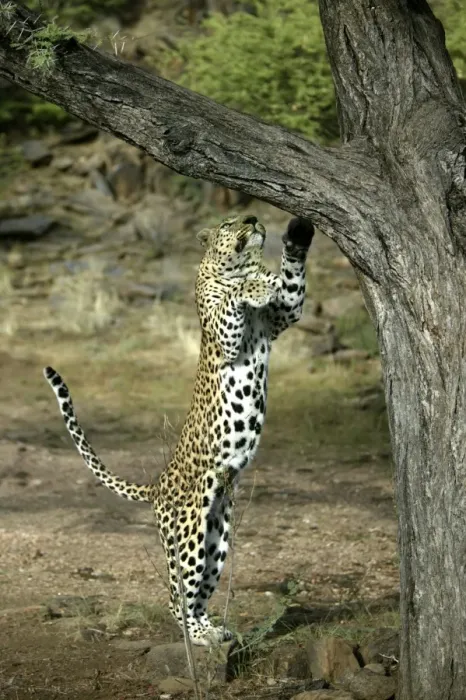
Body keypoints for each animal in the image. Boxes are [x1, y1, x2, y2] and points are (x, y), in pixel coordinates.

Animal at [44, 213, 314, 647]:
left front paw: (297, 236)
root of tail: (158, 484)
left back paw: (212, 631)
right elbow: (233, 298)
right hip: (187, 534)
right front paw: (253, 287)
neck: (240, 266)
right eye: (229, 222)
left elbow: (288, 282)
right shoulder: (223, 328)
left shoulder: (284, 313)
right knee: (176, 596)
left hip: (217, 537)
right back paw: (198, 636)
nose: (253, 218)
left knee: (199, 591)